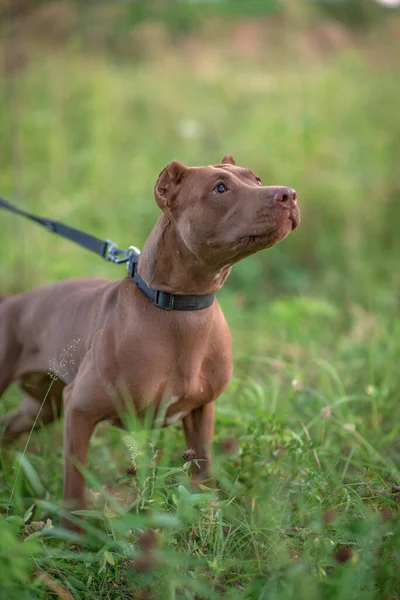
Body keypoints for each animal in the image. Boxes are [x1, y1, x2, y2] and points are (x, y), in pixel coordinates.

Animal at [0, 156, 298, 528]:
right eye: (219, 188)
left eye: (256, 179)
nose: (289, 194)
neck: (178, 307)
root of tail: (12, 301)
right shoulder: (80, 410)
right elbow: (74, 488)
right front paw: (71, 536)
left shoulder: (201, 411)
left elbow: (203, 476)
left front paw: (208, 521)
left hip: (41, 408)